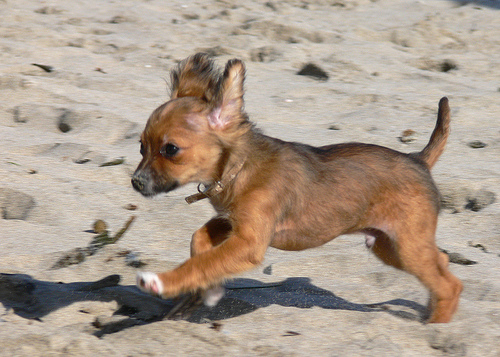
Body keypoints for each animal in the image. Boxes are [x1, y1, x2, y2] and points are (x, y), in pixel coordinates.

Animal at [131, 52, 462, 322]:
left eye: (171, 149)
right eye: (141, 147)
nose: (136, 182)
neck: (240, 168)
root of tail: (418, 160)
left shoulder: (249, 243)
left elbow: (201, 263)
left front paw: (164, 282)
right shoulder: (230, 224)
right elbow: (199, 243)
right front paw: (210, 290)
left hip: (406, 247)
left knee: (450, 284)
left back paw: (435, 328)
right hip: (388, 246)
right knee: (442, 264)